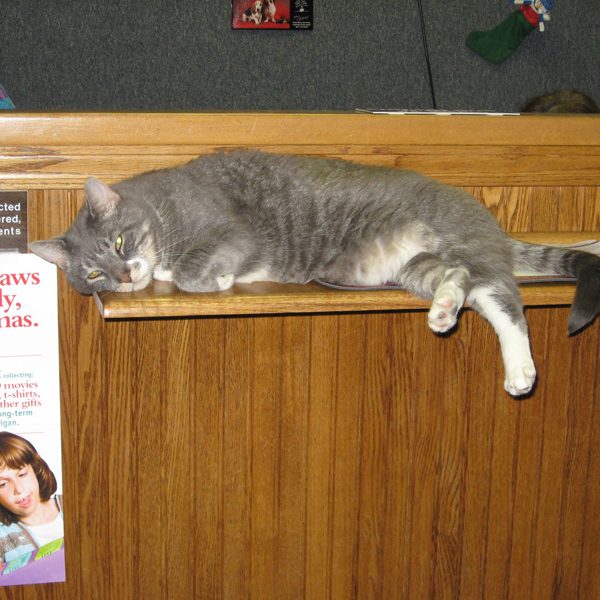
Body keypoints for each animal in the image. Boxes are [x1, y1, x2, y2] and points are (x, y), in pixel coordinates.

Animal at [30, 149, 600, 396]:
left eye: (119, 242)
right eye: (93, 275)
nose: (124, 278)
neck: (159, 207)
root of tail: (487, 221)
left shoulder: (232, 234)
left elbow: (194, 269)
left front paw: (215, 278)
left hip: (460, 241)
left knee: (503, 298)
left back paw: (521, 370)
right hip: (415, 267)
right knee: (460, 282)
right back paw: (443, 310)